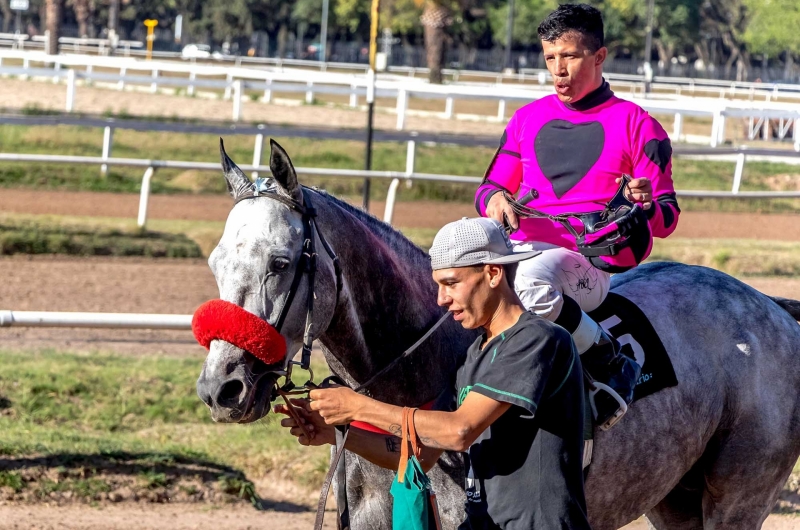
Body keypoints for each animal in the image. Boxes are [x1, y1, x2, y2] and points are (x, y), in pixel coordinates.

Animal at [195, 140, 800, 528]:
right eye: (216, 261)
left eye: (279, 262)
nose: (221, 388)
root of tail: (773, 308)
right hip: (675, 498)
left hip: (739, 498)